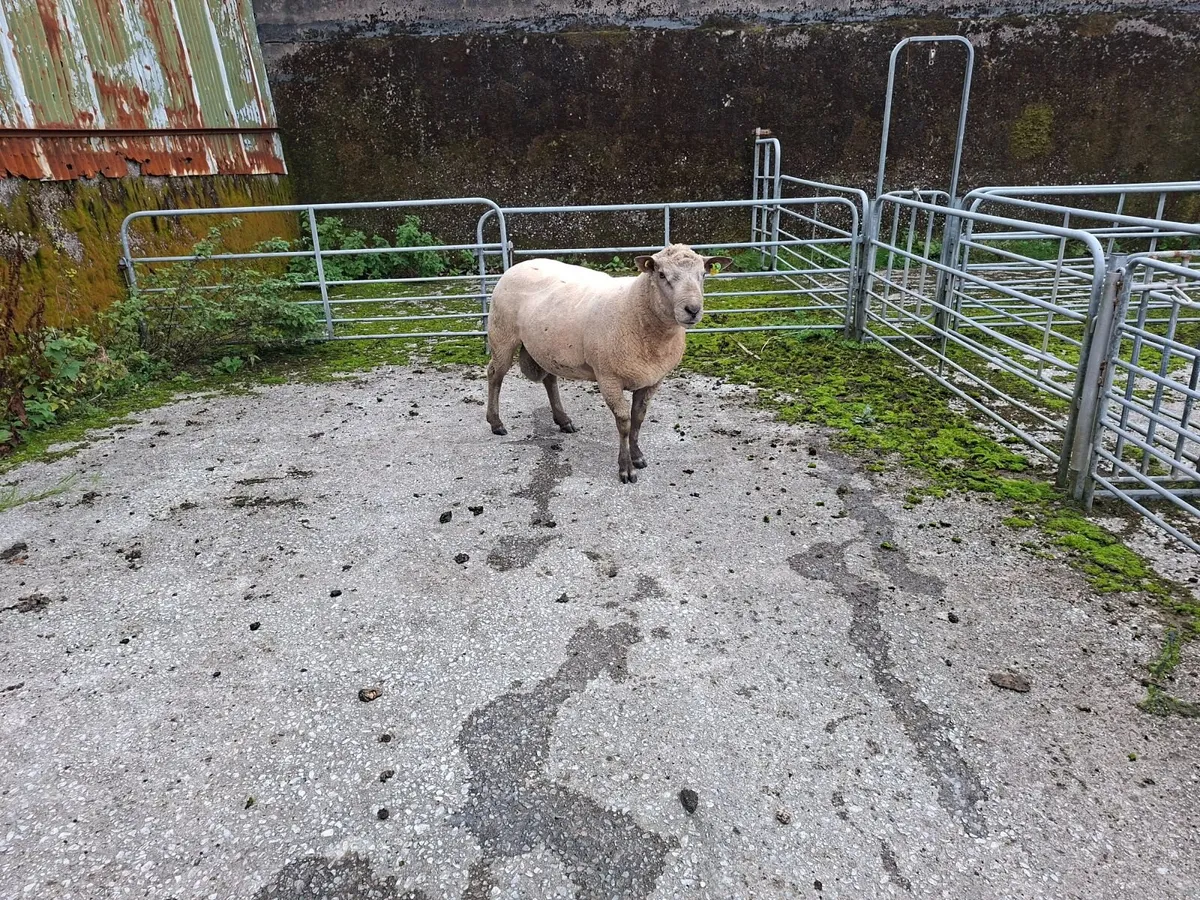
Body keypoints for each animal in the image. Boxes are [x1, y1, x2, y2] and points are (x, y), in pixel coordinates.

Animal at [485, 244, 732, 483]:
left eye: (703, 275)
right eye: (661, 274)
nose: (693, 310)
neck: (636, 308)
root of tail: (518, 265)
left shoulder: (653, 380)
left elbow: (638, 418)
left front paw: (637, 455)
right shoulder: (608, 378)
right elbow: (624, 422)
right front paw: (626, 469)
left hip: (547, 346)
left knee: (549, 380)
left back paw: (563, 420)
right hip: (502, 334)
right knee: (495, 374)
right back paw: (496, 423)